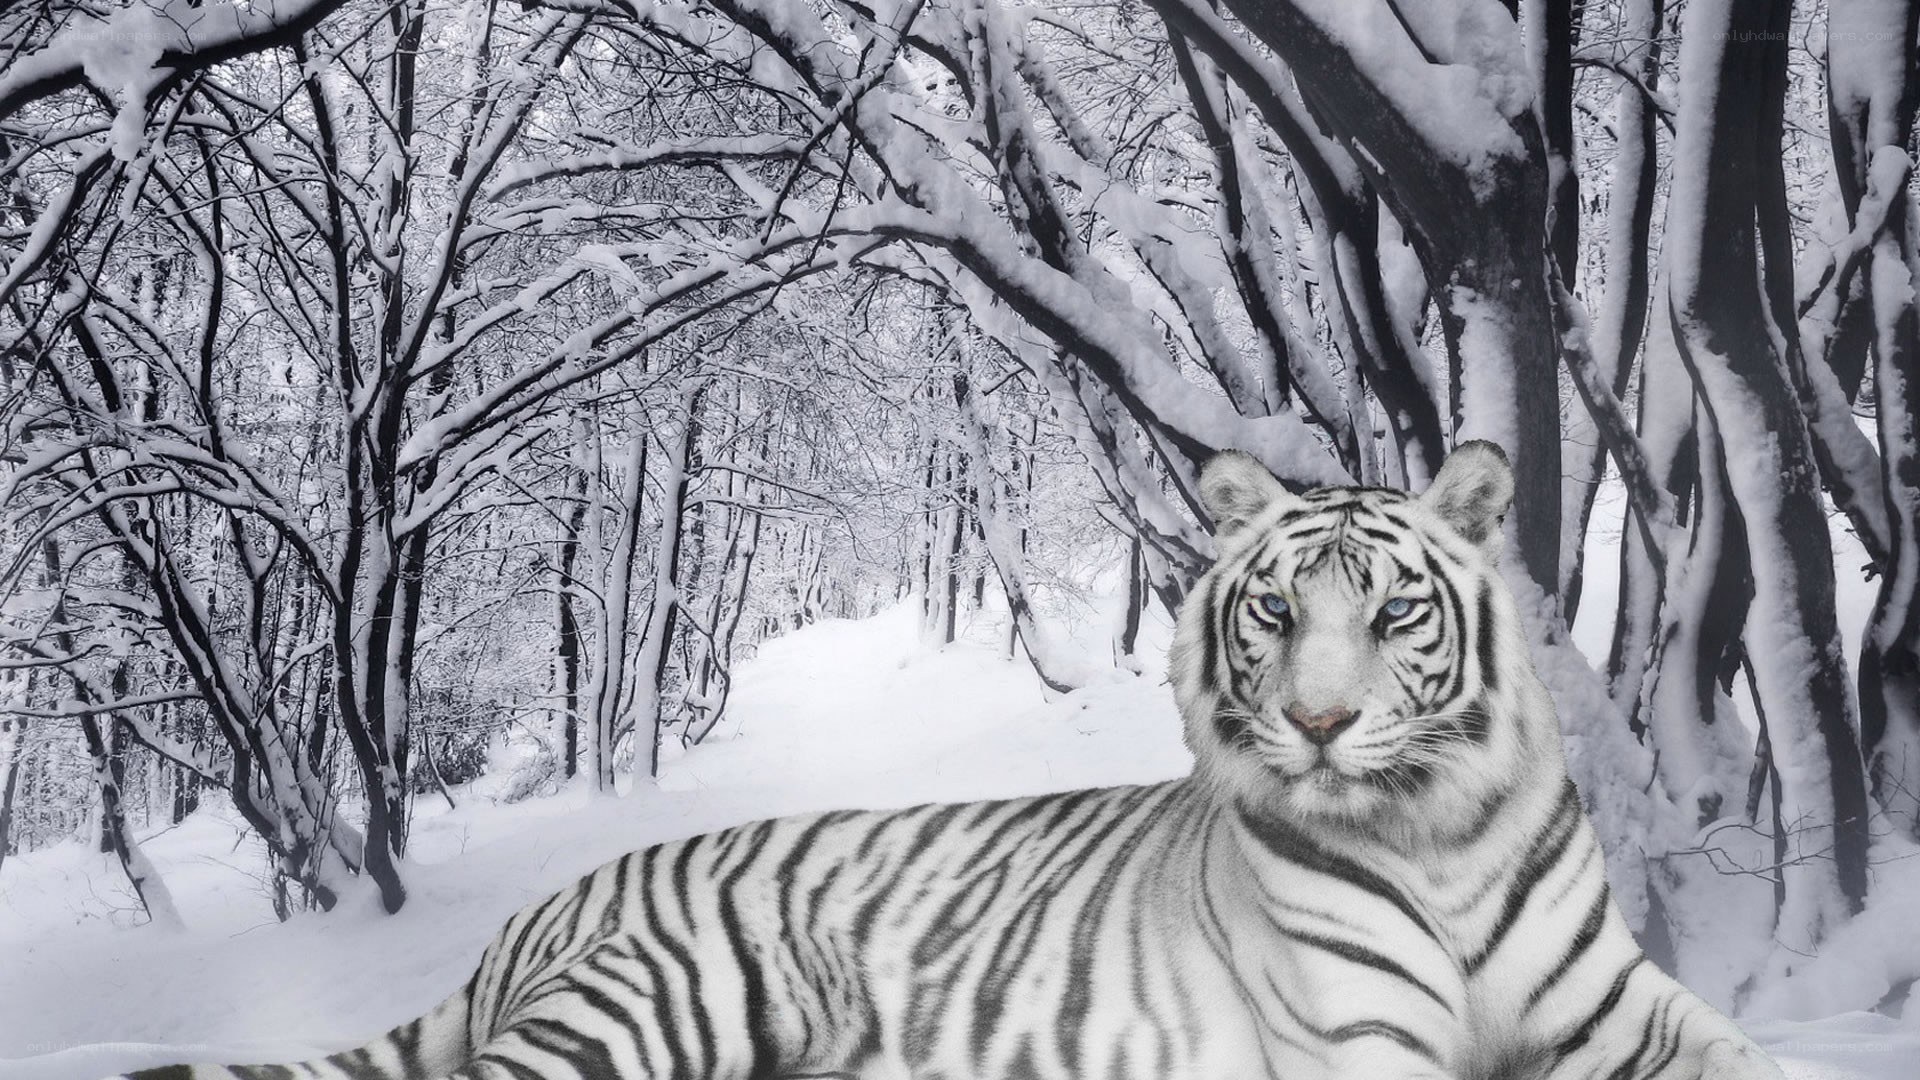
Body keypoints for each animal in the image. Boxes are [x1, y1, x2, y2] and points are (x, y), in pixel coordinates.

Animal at [124, 441, 1785, 1080]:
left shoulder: (1615, 1010)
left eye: (1391, 613)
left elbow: (1763, 1059)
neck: (1435, 833)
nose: (1318, 725)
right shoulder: (1365, 1048)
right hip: (655, 1006)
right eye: (1273, 612)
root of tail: (535, 917)